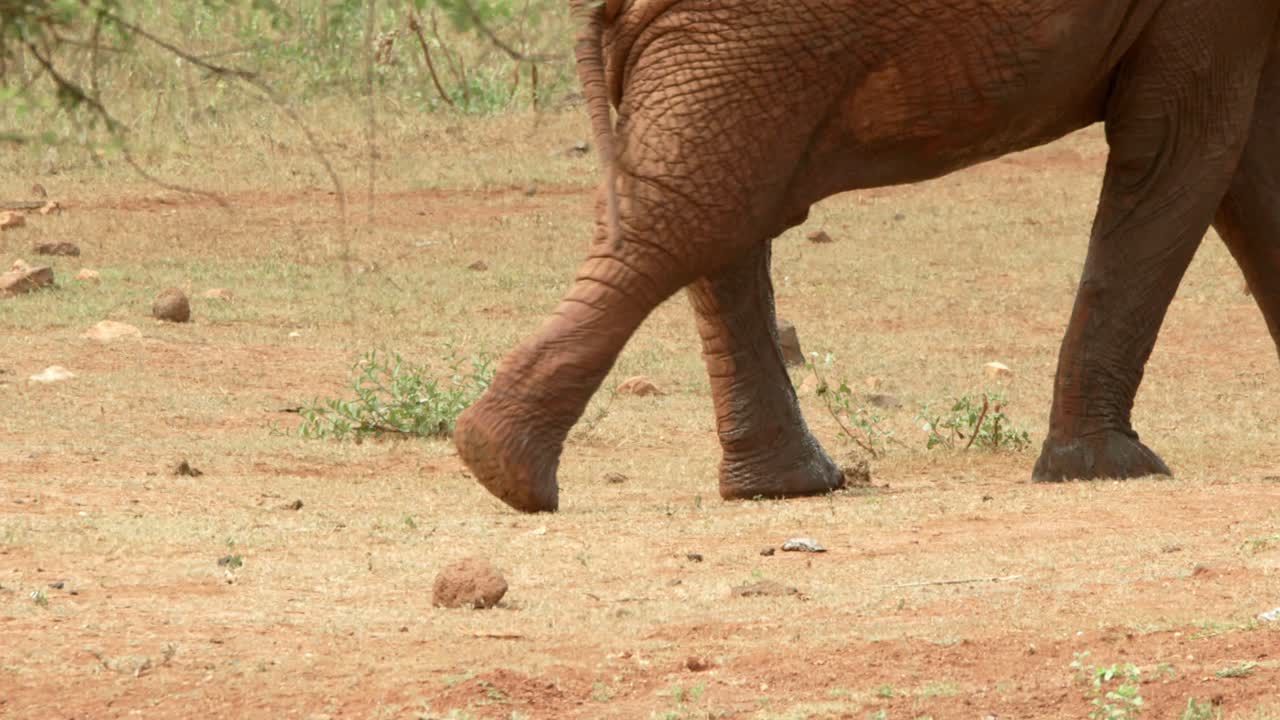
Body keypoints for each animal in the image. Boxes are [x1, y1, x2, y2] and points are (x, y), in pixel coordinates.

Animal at [454, 0, 1280, 513]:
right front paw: (1107, 470)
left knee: (724, 208)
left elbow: (1246, 166)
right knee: (695, 211)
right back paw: (505, 469)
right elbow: (1186, 144)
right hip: (749, 36)